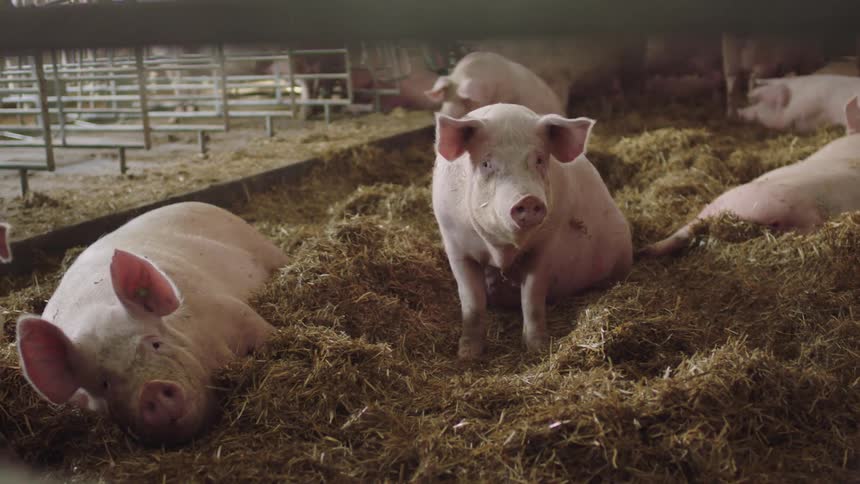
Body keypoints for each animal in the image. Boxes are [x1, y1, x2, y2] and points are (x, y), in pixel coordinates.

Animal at [15, 202, 288, 445]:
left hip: (263, 247)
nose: (151, 389)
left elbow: (263, 331)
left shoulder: (227, 308)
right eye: (104, 383)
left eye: (156, 344)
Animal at [432, 103, 633, 359]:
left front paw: (538, 349)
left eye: (539, 160)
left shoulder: (545, 246)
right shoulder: (455, 246)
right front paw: (467, 355)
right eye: (486, 164)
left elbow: (532, 298)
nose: (527, 199)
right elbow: (472, 302)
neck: (502, 252)